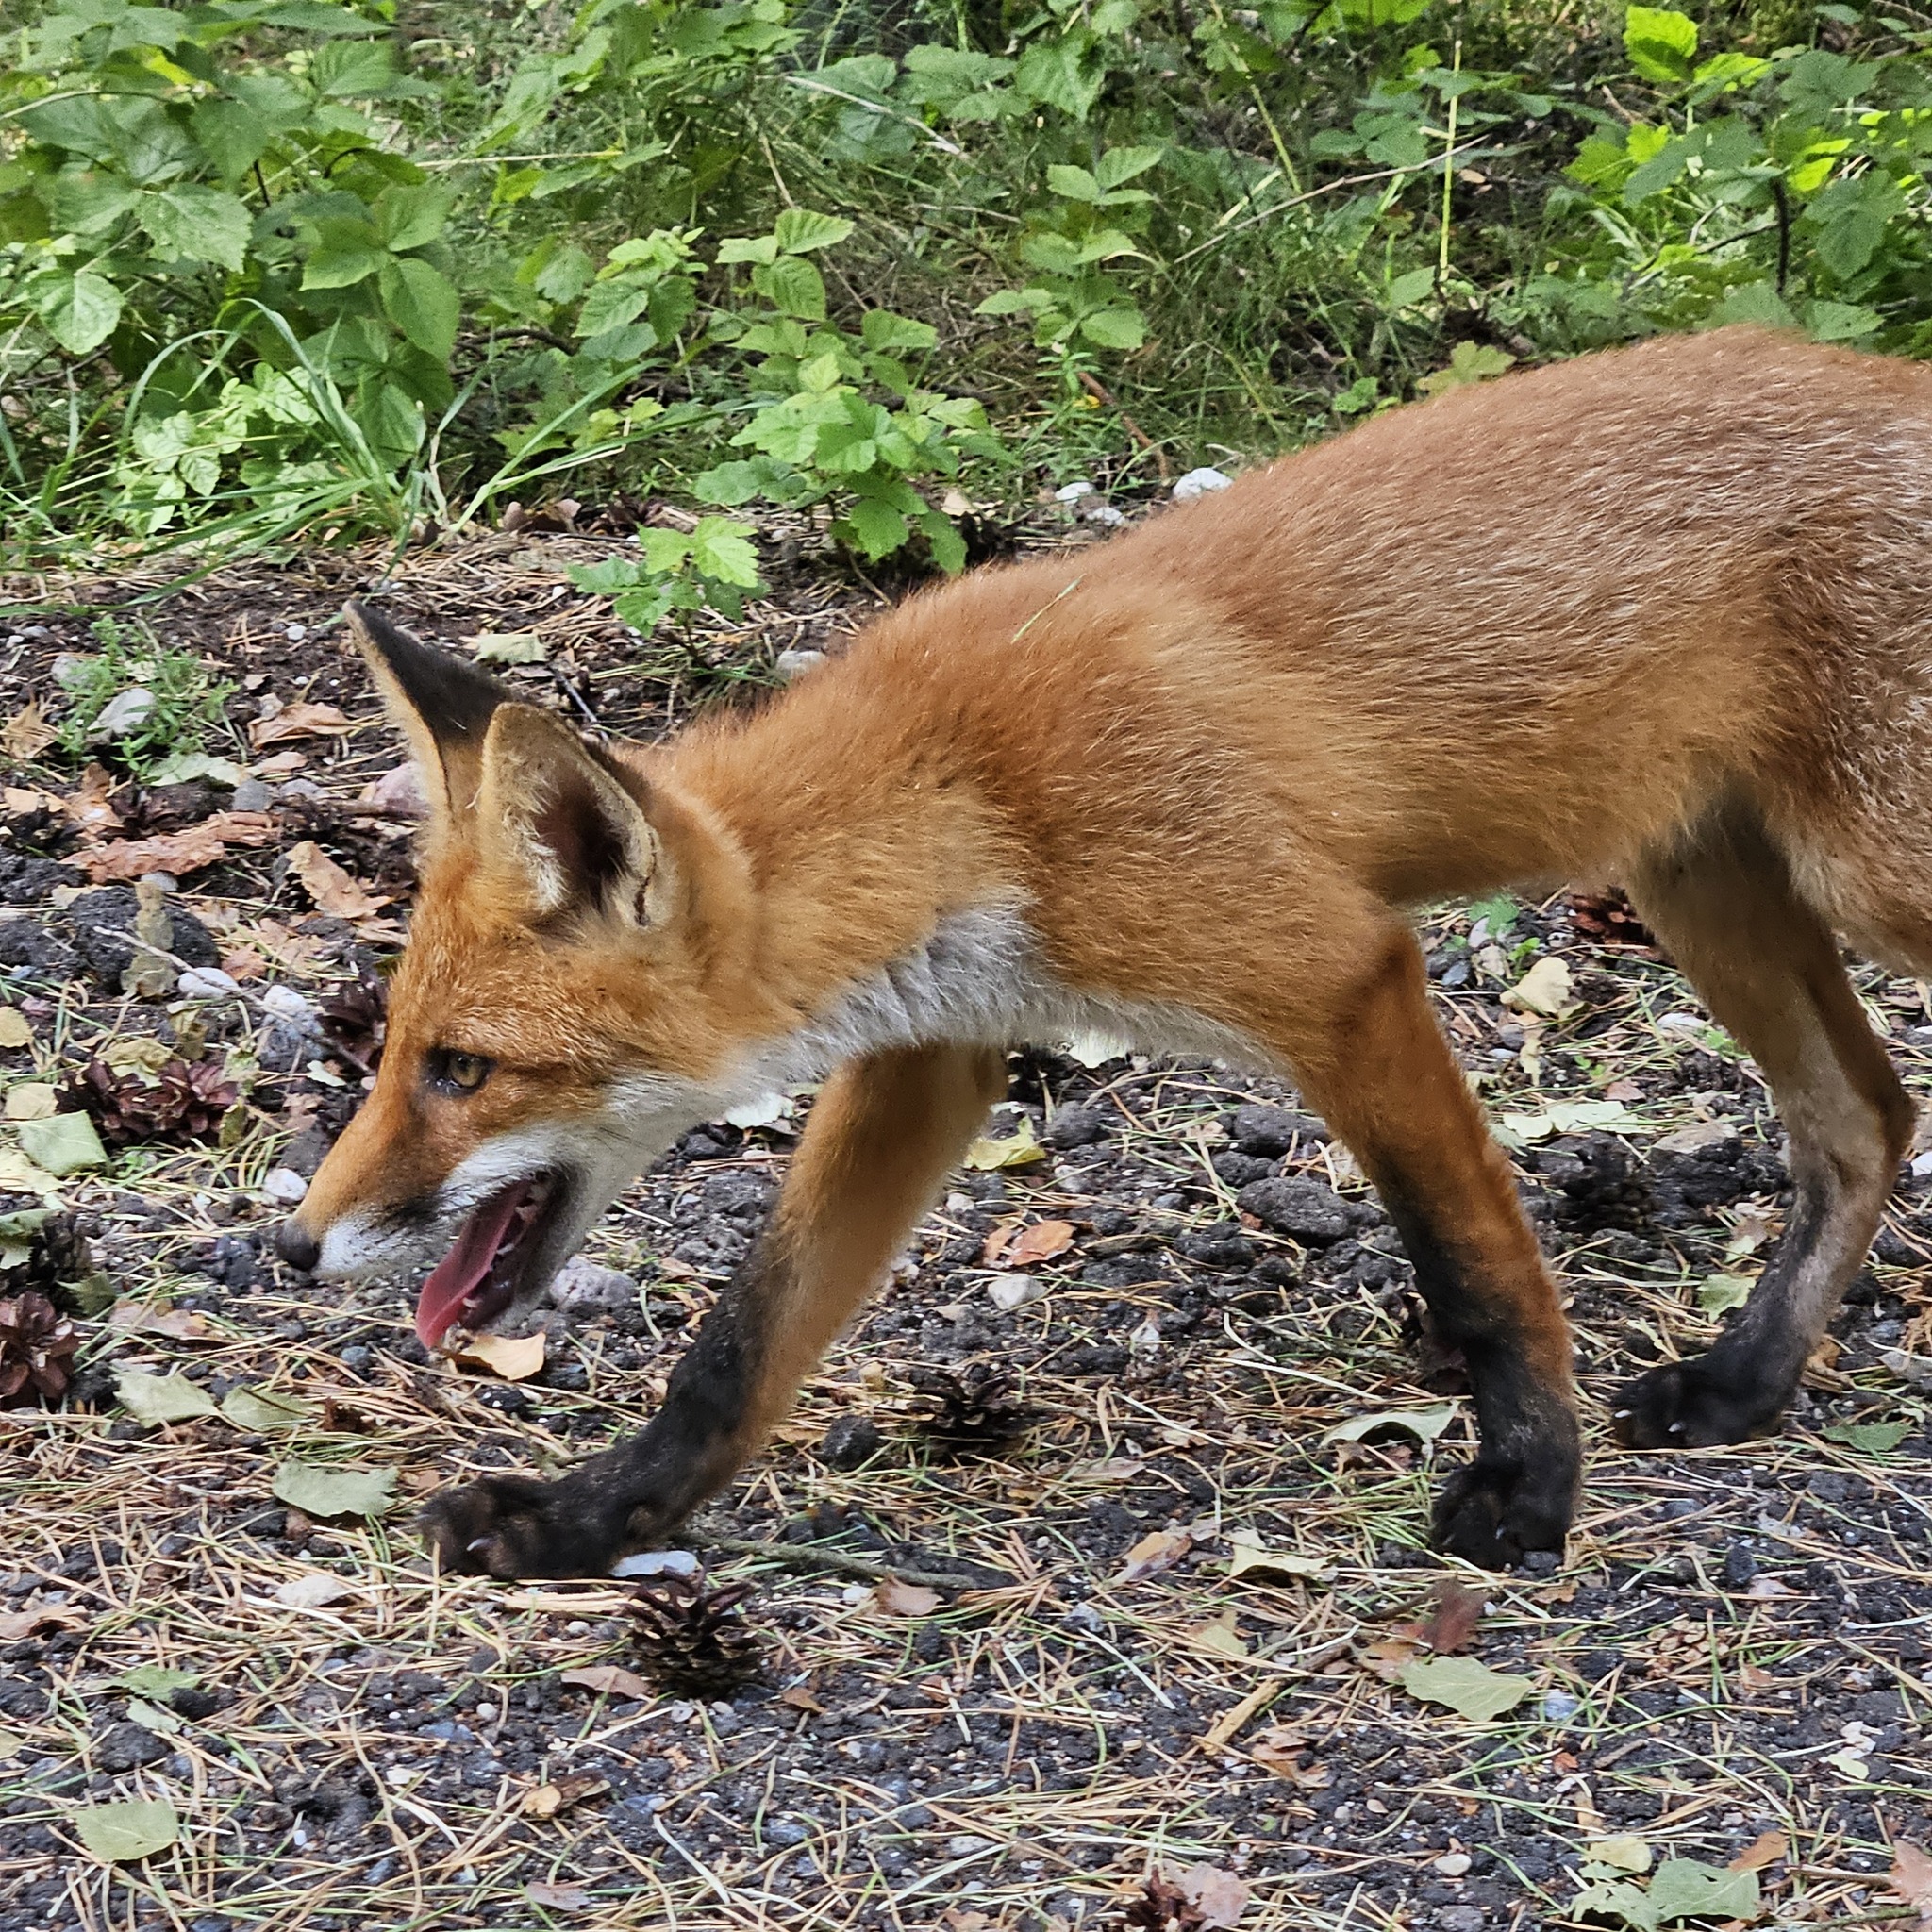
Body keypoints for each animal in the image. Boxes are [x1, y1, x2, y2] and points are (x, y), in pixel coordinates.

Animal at [275, 325, 1932, 1576]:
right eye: (392, 1050)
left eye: (463, 1070)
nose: (292, 1247)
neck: (973, 795)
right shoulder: (930, 1057)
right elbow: (737, 1349)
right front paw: (590, 1522)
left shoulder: (1340, 974)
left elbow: (1478, 1272)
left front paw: (1530, 1490)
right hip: (1700, 880)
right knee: (1866, 1117)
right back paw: (1749, 1382)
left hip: (1863, 880)